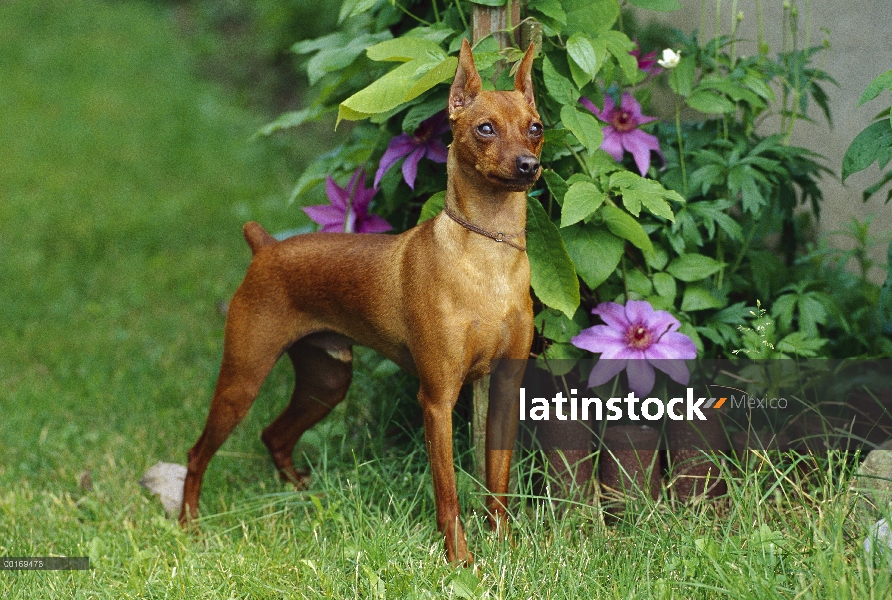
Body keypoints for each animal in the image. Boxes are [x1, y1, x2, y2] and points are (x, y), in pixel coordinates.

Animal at [179, 38, 544, 564]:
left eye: (535, 128)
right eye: (485, 128)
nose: (528, 166)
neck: (488, 252)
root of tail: (265, 247)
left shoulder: (503, 388)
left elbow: (498, 485)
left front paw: (507, 549)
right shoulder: (437, 399)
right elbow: (449, 494)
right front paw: (461, 560)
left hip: (326, 381)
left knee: (274, 436)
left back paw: (306, 497)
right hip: (242, 379)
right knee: (198, 453)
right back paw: (189, 525)